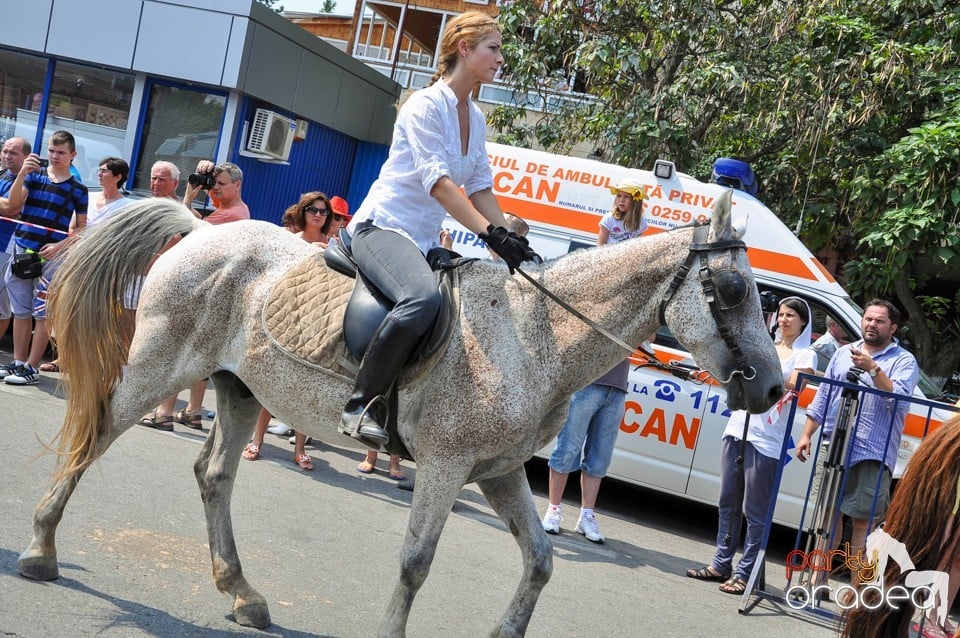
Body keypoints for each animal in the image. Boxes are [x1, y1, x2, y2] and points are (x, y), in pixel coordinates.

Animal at [18, 192, 784, 636]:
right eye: (731, 289)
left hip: (239, 389)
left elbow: (539, 562)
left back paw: (243, 594)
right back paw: (40, 550)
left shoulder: (497, 472)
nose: (776, 389)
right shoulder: (446, 466)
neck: (533, 336)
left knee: (214, 477)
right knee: (96, 435)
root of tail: (199, 228)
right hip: (161, 366)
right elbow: (416, 562)